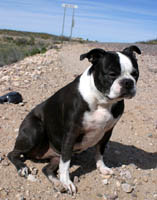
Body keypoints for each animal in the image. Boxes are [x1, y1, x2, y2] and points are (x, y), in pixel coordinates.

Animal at [7, 45, 141, 194]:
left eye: (135, 74)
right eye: (112, 74)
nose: (128, 82)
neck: (101, 101)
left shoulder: (107, 131)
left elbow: (100, 151)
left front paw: (102, 168)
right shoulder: (71, 133)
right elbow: (66, 162)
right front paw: (67, 182)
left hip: (55, 156)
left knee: (46, 169)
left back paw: (57, 183)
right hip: (35, 131)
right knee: (12, 153)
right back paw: (23, 168)